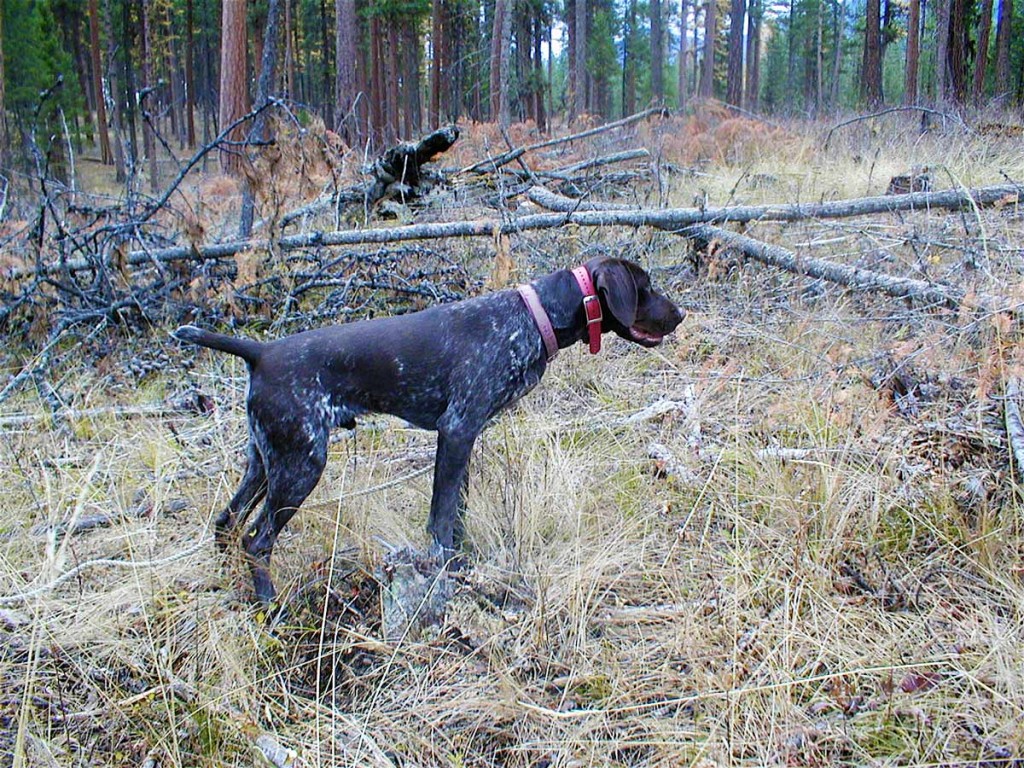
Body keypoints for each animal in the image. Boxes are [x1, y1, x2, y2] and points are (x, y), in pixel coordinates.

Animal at [177, 256, 684, 606]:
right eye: (645, 288)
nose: (680, 314)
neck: (534, 316)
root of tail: (259, 353)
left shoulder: (466, 436)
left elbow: (456, 510)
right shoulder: (456, 429)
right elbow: (441, 519)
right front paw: (451, 569)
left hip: (266, 460)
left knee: (225, 523)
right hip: (301, 465)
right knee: (256, 539)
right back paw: (269, 604)